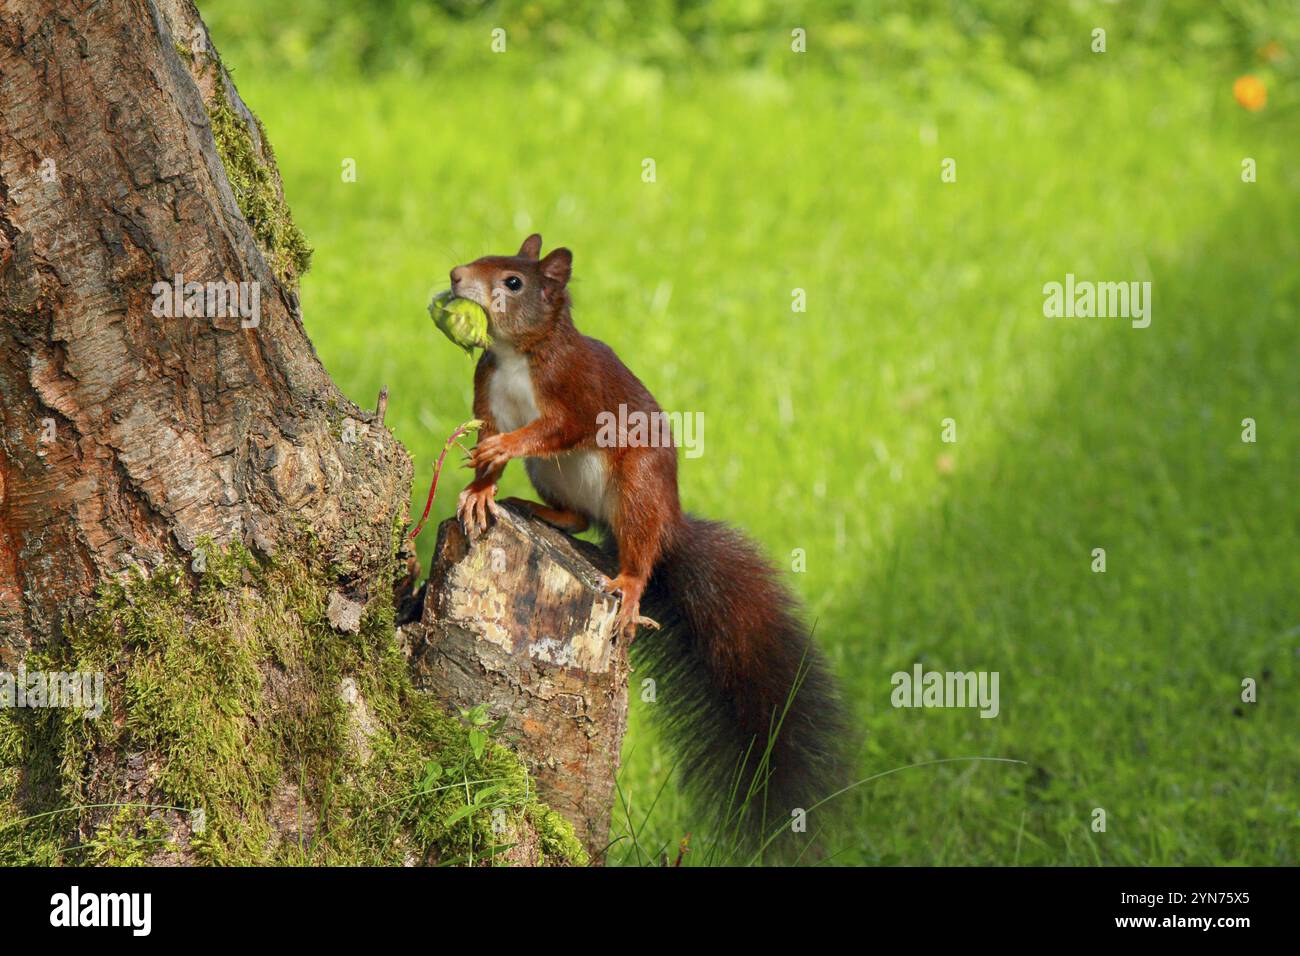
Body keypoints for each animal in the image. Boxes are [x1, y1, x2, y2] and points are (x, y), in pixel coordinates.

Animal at [452, 235, 847, 832]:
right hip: (554, 476)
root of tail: (669, 524)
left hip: (636, 489)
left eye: (513, 282)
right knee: (579, 519)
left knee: (636, 551)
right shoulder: (488, 388)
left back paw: (632, 584)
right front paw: (481, 489)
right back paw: (540, 511)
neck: (519, 353)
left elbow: (557, 428)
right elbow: (490, 433)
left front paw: (504, 449)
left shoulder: (577, 388)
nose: (455, 275)